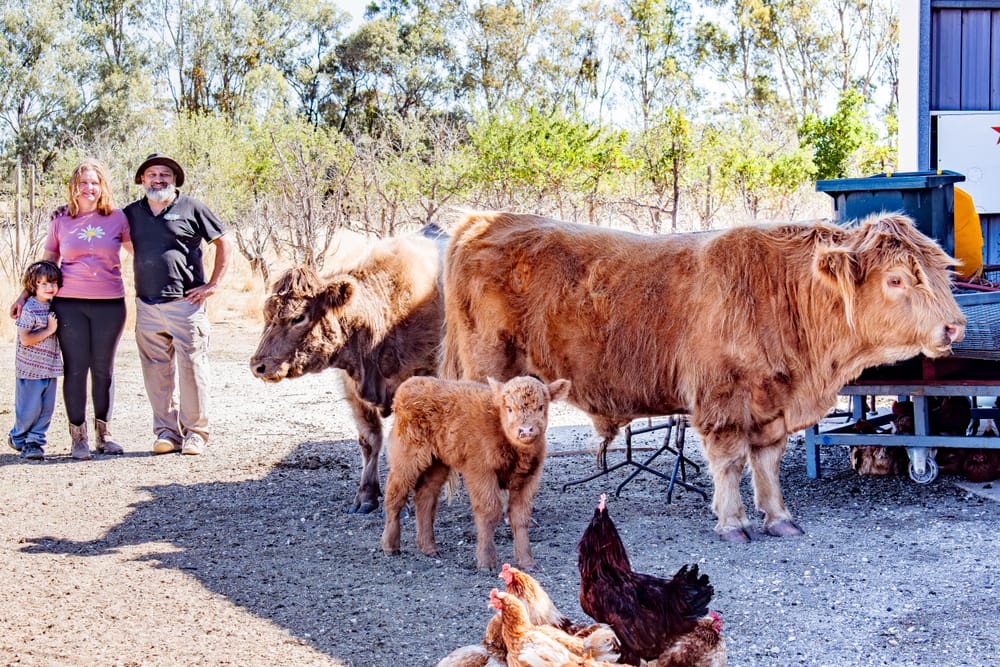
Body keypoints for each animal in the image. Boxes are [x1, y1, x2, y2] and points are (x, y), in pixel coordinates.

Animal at [250, 225, 447, 514]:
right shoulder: (352, 389)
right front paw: (366, 495)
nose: (258, 365)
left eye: (298, 317)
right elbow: (370, 441)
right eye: (266, 314)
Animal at [442, 211, 966, 542]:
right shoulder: (722, 399)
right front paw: (733, 522)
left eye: (941, 272)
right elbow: (731, 461)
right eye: (896, 278)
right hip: (489, 370)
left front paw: (778, 517)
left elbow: (767, 462)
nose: (954, 325)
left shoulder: (770, 403)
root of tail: (483, 220)